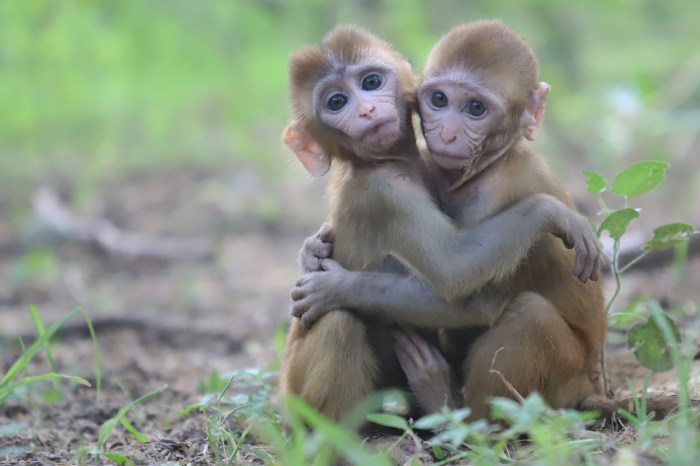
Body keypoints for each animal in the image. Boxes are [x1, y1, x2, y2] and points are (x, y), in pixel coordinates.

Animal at [282, 20, 608, 424]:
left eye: (370, 82)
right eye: (336, 102)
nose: (367, 110)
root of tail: (595, 383)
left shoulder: (494, 192)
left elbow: (466, 289)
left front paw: (334, 283)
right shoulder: (385, 192)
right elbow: (456, 272)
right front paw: (552, 212)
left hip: (568, 387)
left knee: (530, 314)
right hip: (295, 392)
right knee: (341, 321)